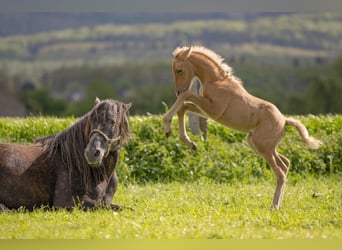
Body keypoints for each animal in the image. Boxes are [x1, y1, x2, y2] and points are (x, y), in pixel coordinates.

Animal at [162, 46, 320, 210]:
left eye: (179, 70)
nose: (178, 91)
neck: (216, 81)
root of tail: (284, 121)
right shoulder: (207, 111)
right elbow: (183, 107)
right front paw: (189, 142)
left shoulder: (213, 110)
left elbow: (186, 97)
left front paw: (167, 127)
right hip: (261, 146)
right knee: (286, 163)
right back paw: (278, 204)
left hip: (263, 146)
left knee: (280, 171)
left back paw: (274, 206)